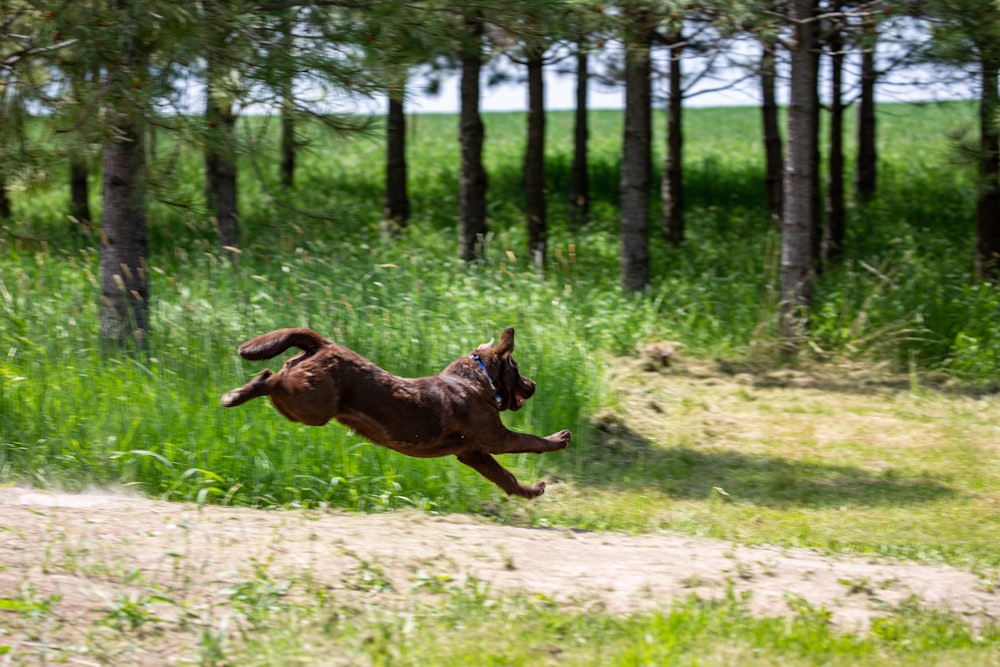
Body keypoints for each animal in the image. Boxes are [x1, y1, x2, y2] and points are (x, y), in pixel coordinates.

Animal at [224, 326, 576, 498]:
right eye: (517, 368)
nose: (533, 384)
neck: (479, 381)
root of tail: (324, 345)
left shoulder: (473, 453)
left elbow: (505, 477)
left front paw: (531, 492)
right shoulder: (495, 438)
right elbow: (531, 440)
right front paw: (560, 438)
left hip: (302, 404)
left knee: (274, 376)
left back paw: (236, 394)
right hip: (311, 404)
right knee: (271, 377)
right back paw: (234, 394)